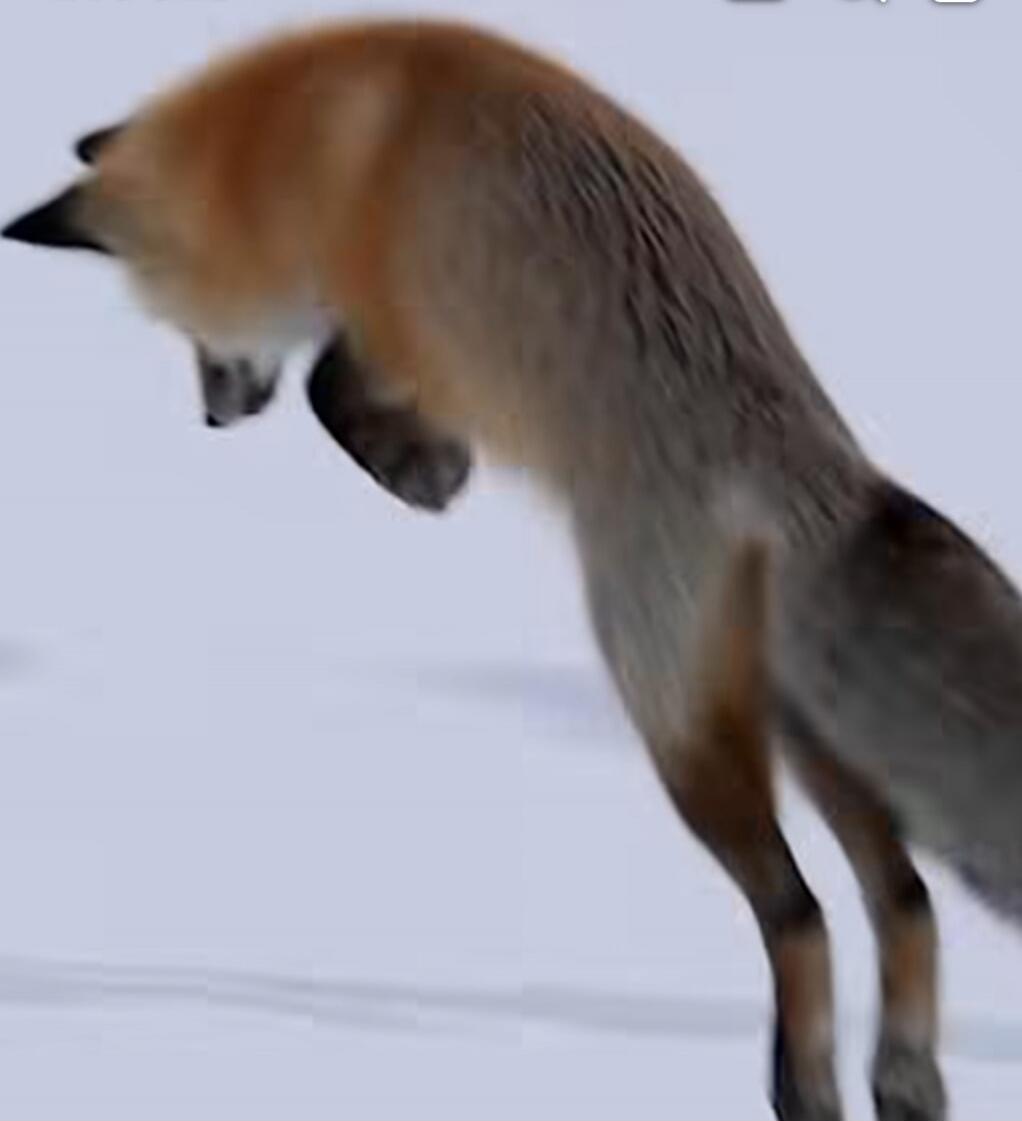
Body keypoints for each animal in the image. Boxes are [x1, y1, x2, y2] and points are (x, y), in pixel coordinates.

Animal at [5, 19, 1022, 1120]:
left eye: (178, 327)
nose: (211, 417)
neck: (298, 141)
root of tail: (810, 477)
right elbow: (332, 375)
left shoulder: (409, 315)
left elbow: (330, 384)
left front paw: (422, 470)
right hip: (806, 733)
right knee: (902, 894)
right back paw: (901, 1075)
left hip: (677, 730)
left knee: (796, 910)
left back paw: (803, 1084)